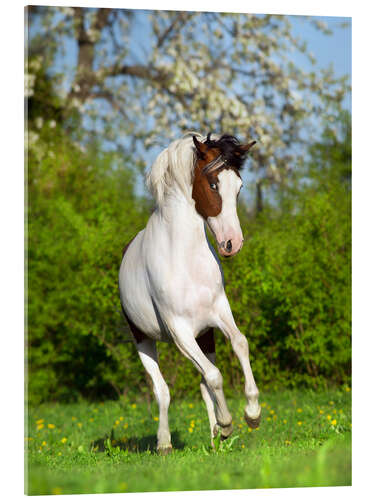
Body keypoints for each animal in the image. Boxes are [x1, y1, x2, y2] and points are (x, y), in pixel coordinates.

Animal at [119, 132, 262, 454]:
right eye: (213, 185)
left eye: (239, 187)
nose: (232, 243)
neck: (186, 260)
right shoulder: (180, 331)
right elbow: (214, 375)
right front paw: (227, 422)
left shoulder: (219, 314)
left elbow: (240, 344)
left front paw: (252, 414)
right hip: (144, 340)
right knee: (162, 389)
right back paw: (164, 443)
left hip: (204, 336)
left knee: (203, 384)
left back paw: (214, 439)